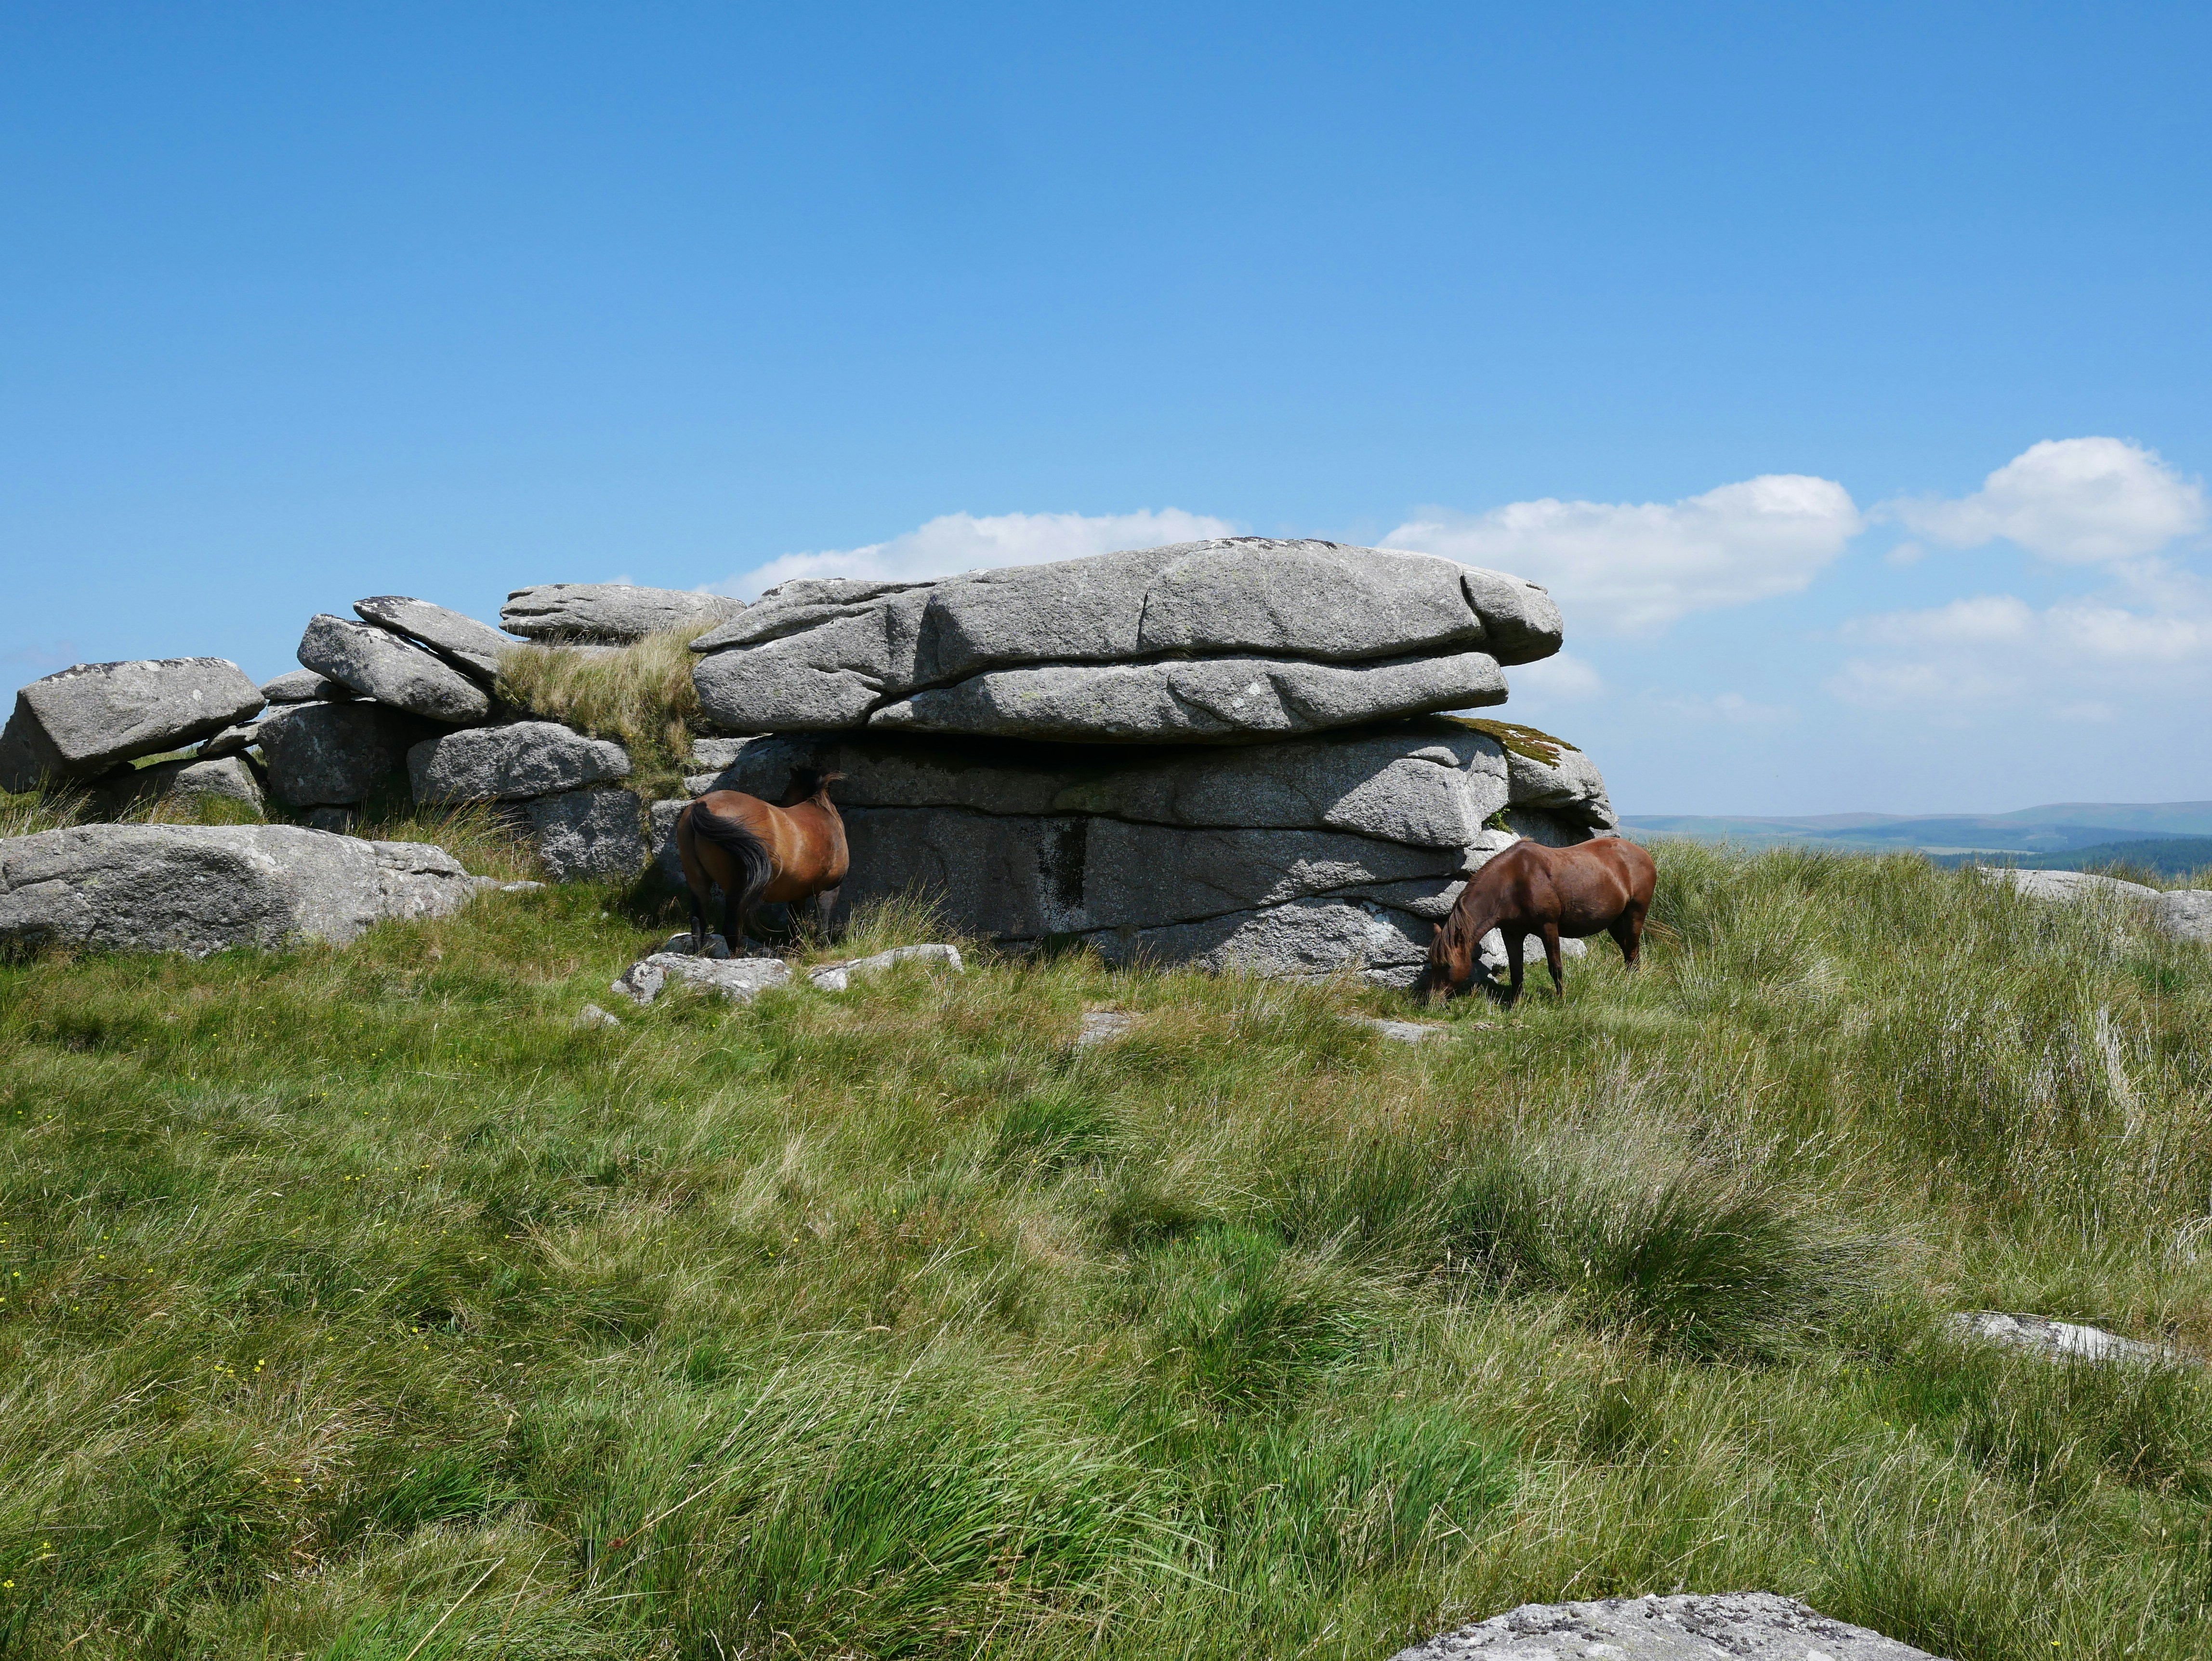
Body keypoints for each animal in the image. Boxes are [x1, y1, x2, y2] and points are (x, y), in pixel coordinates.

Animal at [675, 766, 850, 957]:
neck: (822, 812)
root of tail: (702, 806)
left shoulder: (797, 895)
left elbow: (796, 925)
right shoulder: (830, 889)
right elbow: (823, 924)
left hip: (698, 881)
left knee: (698, 923)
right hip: (738, 889)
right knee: (731, 928)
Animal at [1416, 836, 1657, 1004]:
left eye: (1447, 965)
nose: (1430, 999)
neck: (1513, 883)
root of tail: (1644, 855)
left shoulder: (1548, 928)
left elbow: (1555, 967)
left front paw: (1561, 1000)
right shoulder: (1511, 933)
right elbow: (1517, 970)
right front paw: (1516, 1005)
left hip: (1635, 914)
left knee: (1632, 951)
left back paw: (1632, 986)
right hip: (1615, 922)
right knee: (1629, 952)